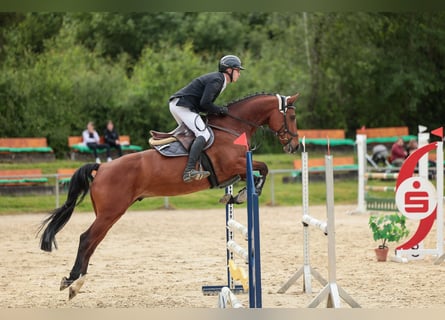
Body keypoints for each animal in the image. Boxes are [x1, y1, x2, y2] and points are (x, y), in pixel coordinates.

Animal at [39, 92, 298, 300]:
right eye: (293, 117)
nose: (294, 146)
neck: (232, 129)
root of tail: (102, 167)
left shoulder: (236, 172)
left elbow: (258, 172)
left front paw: (235, 196)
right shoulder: (233, 165)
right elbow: (263, 168)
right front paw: (244, 195)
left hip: (108, 214)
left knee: (93, 242)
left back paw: (76, 282)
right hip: (111, 212)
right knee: (86, 239)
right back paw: (73, 282)